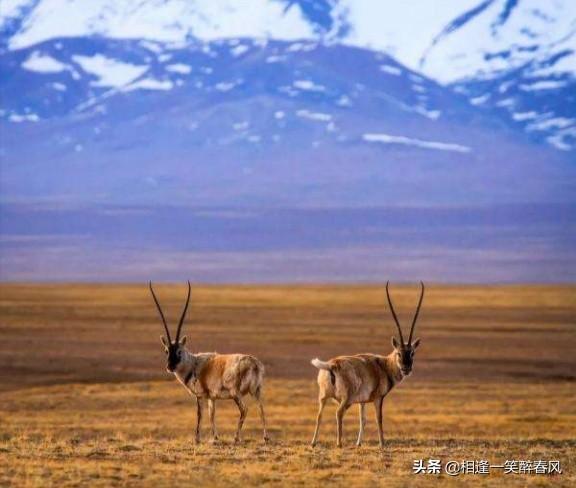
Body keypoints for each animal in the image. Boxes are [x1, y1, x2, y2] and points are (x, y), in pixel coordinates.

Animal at [150, 280, 268, 444]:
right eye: (166, 351)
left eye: (179, 351)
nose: (170, 367)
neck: (194, 363)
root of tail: (254, 364)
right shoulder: (212, 397)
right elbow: (212, 415)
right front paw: (215, 438)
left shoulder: (200, 396)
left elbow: (200, 415)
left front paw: (197, 439)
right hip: (256, 391)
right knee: (261, 408)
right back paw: (265, 437)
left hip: (236, 393)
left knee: (244, 410)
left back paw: (236, 437)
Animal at [310, 280, 424, 448]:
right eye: (398, 353)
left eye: (412, 353)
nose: (406, 368)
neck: (384, 365)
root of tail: (333, 364)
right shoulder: (378, 398)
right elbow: (379, 418)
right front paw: (382, 444)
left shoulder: (362, 402)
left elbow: (362, 420)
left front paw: (358, 443)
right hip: (346, 399)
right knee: (339, 413)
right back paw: (339, 443)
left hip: (323, 397)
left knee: (319, 415)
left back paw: (313, 442)